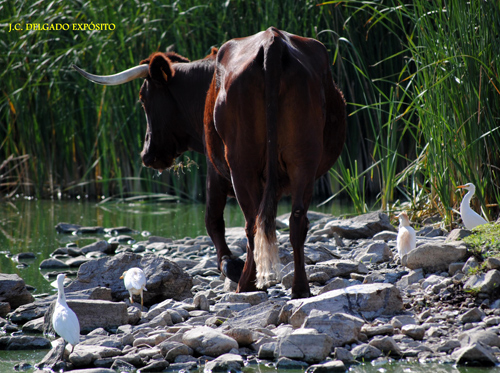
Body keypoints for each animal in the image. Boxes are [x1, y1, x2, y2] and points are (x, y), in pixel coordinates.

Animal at [72, 27, 346, 298]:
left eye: (143, 98)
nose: (146, 154)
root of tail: (273, 39)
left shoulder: (214, 170)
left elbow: (212, 220)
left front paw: (231, 265)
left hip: (241, 163)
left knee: (251, 223)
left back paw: (245, 283)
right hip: (303, 160)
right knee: (295, 220)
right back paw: (300, 288)